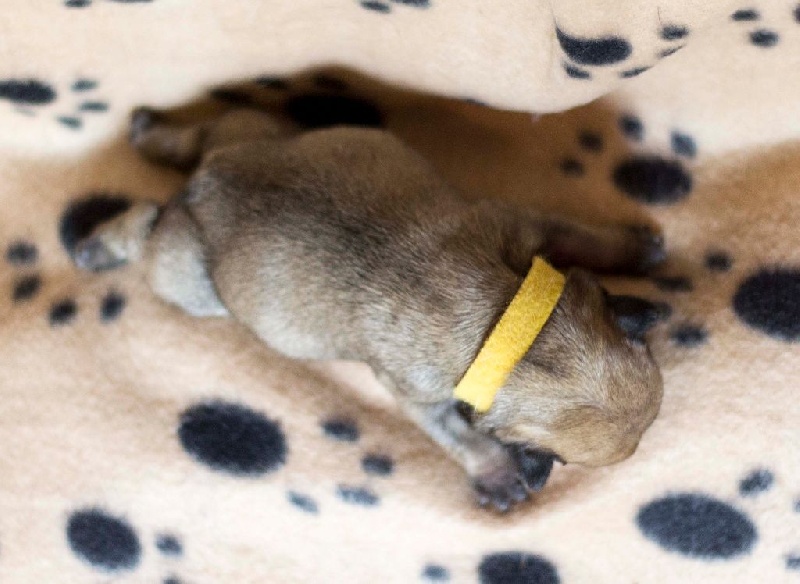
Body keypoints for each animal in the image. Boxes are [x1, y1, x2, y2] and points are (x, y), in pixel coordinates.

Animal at [73, 104, 667, 512]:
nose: (537, 474)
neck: (513, 334)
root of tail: (203, 185)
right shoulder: (417, 395)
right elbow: (456, 435)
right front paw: (496, 473)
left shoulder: (534, 231)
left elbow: (585, 237)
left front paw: (633, 250)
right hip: (188, 279)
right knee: (147, 230)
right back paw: (101, 244)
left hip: (252, 131)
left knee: (199, 135)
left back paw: (149, 131)